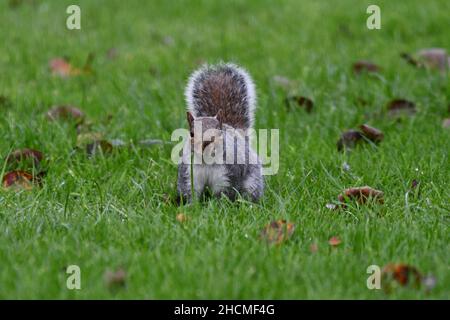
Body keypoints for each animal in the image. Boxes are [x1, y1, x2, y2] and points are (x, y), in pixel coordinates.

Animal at [178, 62, 264, 202]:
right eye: (191, 134)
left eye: (218, 132)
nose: (205, 143)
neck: (207, 161)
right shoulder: (190, 173)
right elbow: (191, 192)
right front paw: (191, 205)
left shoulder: (228, 175)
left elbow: (223, 194)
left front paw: (219, 205)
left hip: (253, 182)